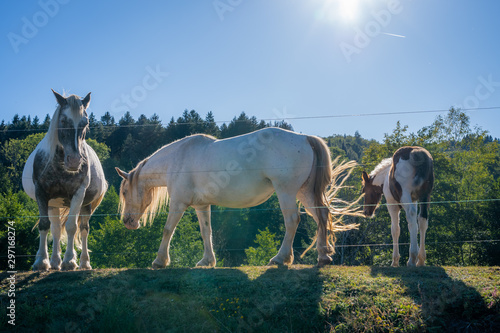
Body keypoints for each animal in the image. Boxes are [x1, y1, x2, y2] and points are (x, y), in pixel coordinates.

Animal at [22, 90, 107, 270]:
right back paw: (54, 262)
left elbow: (71, 227)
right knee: (54, 228)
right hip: (53, 204)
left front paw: (69, 260)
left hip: (86, 205)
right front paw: (41, 261)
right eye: (62, 120)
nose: (74, 161)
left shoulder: (78, 194)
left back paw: (84, 262)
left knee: (83, 229)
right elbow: (44, 225)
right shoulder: (41, 193)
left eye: (86, 122)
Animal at [116, 126, 360, 266]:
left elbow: (168, 230)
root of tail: (305, 138)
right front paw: (207, 261)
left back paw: (280, 258)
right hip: (305, 192)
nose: (127, 222)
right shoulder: (201, 206)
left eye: (125, 192)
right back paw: (323, 255)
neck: (179, 158)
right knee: (321, 216)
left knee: (292, 221)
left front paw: (159, 261)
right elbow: (206, 232)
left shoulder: (178, 203)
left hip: (287, 192)